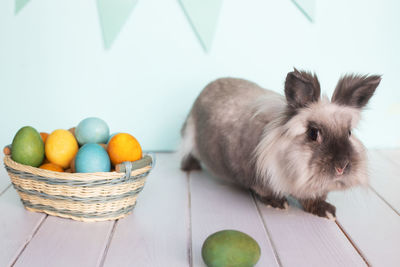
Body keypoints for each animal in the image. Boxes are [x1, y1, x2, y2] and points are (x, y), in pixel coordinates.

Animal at [181, 68, 382, 220]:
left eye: (349, 132)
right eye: (313, 133)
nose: (342, 166)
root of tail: (209, 85)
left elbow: (313, 200)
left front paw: (326, 211)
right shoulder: (260, 179)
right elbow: (267, 192)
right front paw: (278, 204)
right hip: (189, 134)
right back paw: (190, 166)